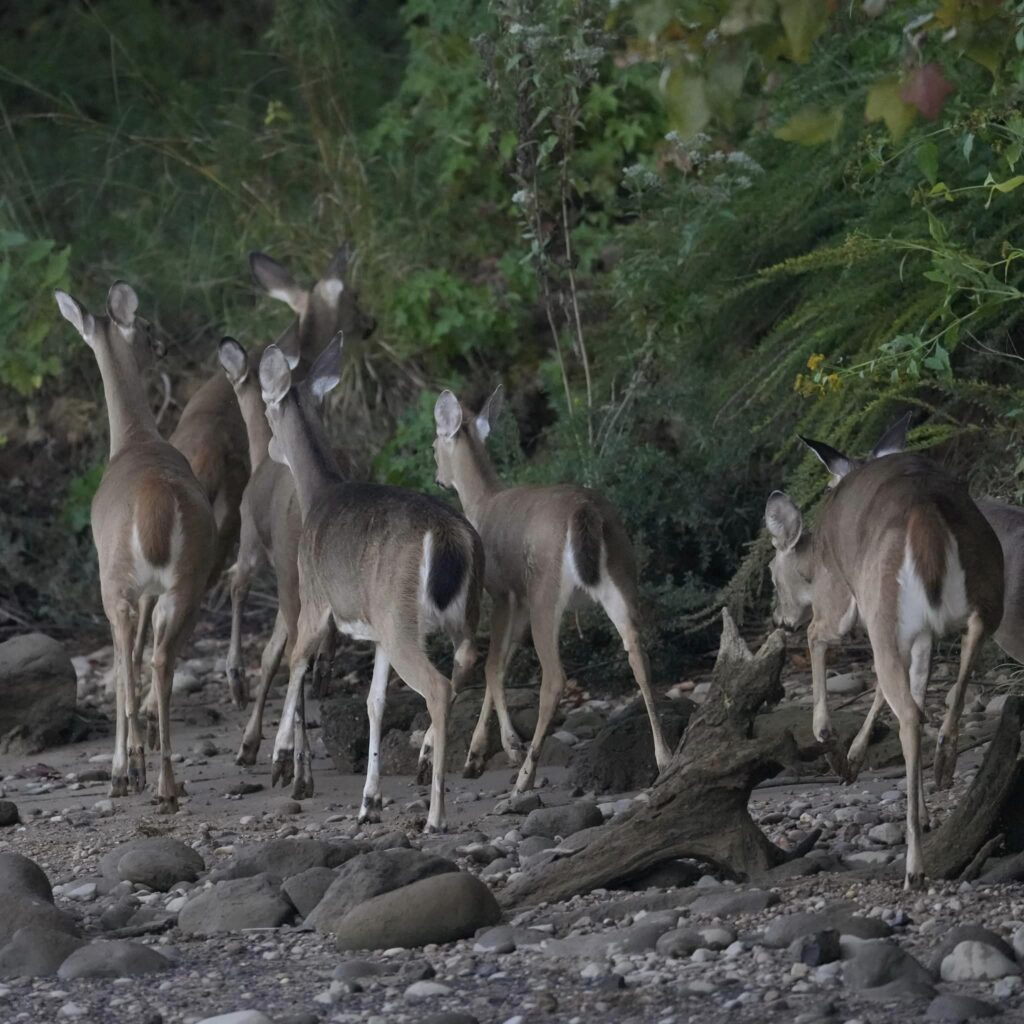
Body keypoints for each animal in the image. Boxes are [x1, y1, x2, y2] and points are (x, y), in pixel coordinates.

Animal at [54, 282, 215, 812]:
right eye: (145, 327)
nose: (161, 347)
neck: (134, 440)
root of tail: (154, 503)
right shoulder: (149, 593)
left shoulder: (126, 590)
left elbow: (125, 667)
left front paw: (126, 768)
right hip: (183, 582)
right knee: (158, 658)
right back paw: (165, 782)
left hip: (120, 582)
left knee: (129, 663)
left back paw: (131, 773)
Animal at [257, 334, 484, 828]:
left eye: (267, 411)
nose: (269, 449)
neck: (319, 494)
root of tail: (449, 536)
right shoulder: (375, 630)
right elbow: (374, 702)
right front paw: (369, 802)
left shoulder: (315, 600)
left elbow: (296, 664)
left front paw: (281, 760)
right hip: (455, 614)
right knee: (466, 664)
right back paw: (424, 760)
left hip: (400, 618)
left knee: (438, 687)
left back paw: (435, 814)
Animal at [432, 385, 671, 793]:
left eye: (434, 446)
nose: (437, 477)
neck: (483, 501)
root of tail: (585, 512)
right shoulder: (521, 602)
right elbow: (501, 663)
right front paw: (475, 756)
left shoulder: (503, 592)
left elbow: (492, 664)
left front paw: (502, 748)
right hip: (623, 577)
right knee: (639, 656)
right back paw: (664, 758)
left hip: (546, 589)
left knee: (554, 678)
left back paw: (524, 779)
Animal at [764, 434, 1003, 888]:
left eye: (770, 572)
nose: (778, 619)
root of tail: (925, 510)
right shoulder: (921, 635)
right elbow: (910, 687)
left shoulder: (840, 603)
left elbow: (817, 639)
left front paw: (835, 749)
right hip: (984, 593)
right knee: (946, 681)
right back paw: (944, 764)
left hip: (878, 603)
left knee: (908, 712)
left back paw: (915, 867)